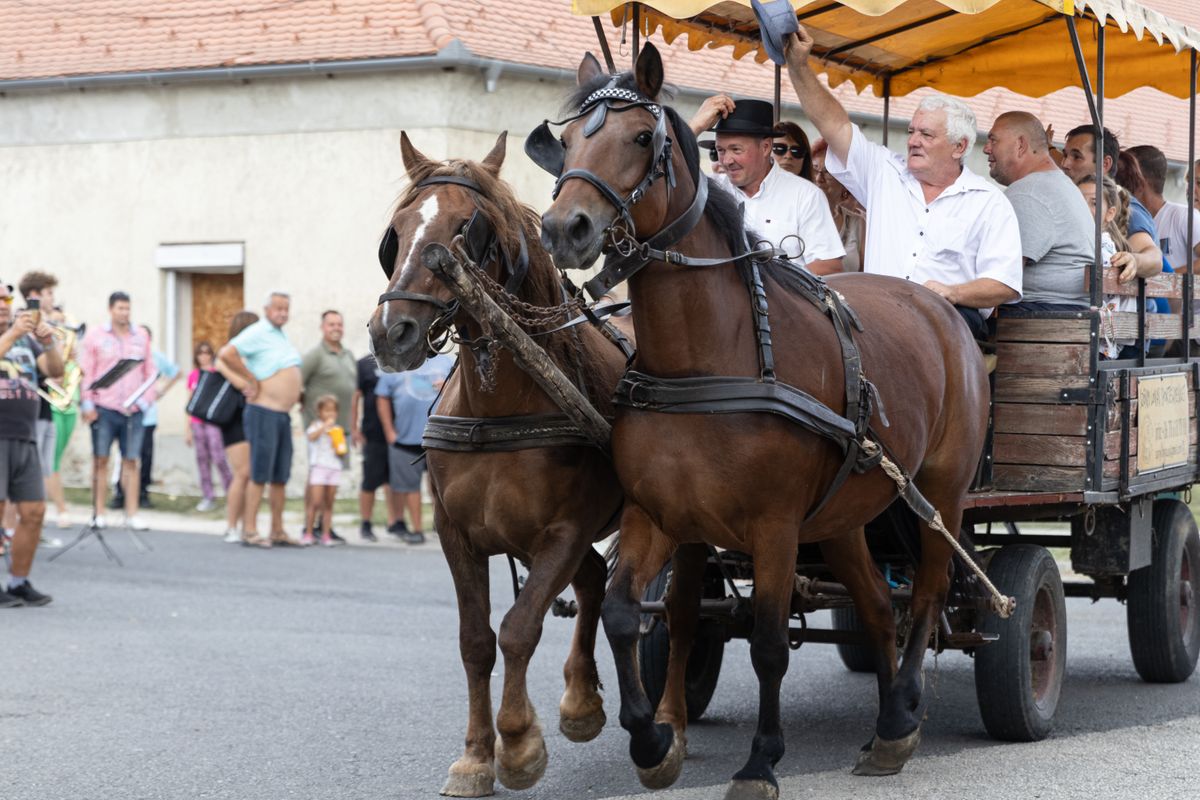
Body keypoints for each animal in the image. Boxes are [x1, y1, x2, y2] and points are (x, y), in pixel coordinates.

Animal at [362, 131, 628, 796]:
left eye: (465, 228)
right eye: (397, 232)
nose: (392, 333)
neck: (500, 398)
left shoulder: (563, 531)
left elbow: (518, 627)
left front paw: (518, 744)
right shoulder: (456, 533)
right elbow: (476, 641)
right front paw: (477, 756)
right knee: (594, 580)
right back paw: (581, 702)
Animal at [540, 45, 988, 800]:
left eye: (641, 138)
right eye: (567, 141)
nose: (563, 228)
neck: (707, 360)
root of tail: (937, 306)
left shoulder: (774, 526)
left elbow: (772, 643)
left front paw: (759, 761)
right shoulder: (657, 512)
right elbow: (627, 613)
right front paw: (653, 741)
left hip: (942, 495)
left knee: (925, 596)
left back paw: (902, 716)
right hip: (843, 515)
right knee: (878, 605)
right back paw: (885, 722)